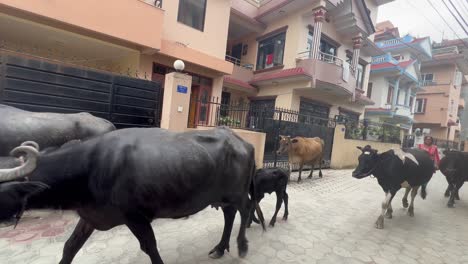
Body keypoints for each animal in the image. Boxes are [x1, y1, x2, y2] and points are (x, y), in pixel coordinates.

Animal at [0, 127, 266, 262]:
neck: (91, 167)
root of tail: (243, 142)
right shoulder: (90, 217)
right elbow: (70, 247)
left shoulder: (135, 217)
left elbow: (150, 248)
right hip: (222, 197)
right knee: (230, 215)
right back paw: (220, 248)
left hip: (237, 192)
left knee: (245, 210)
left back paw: (242, 246)